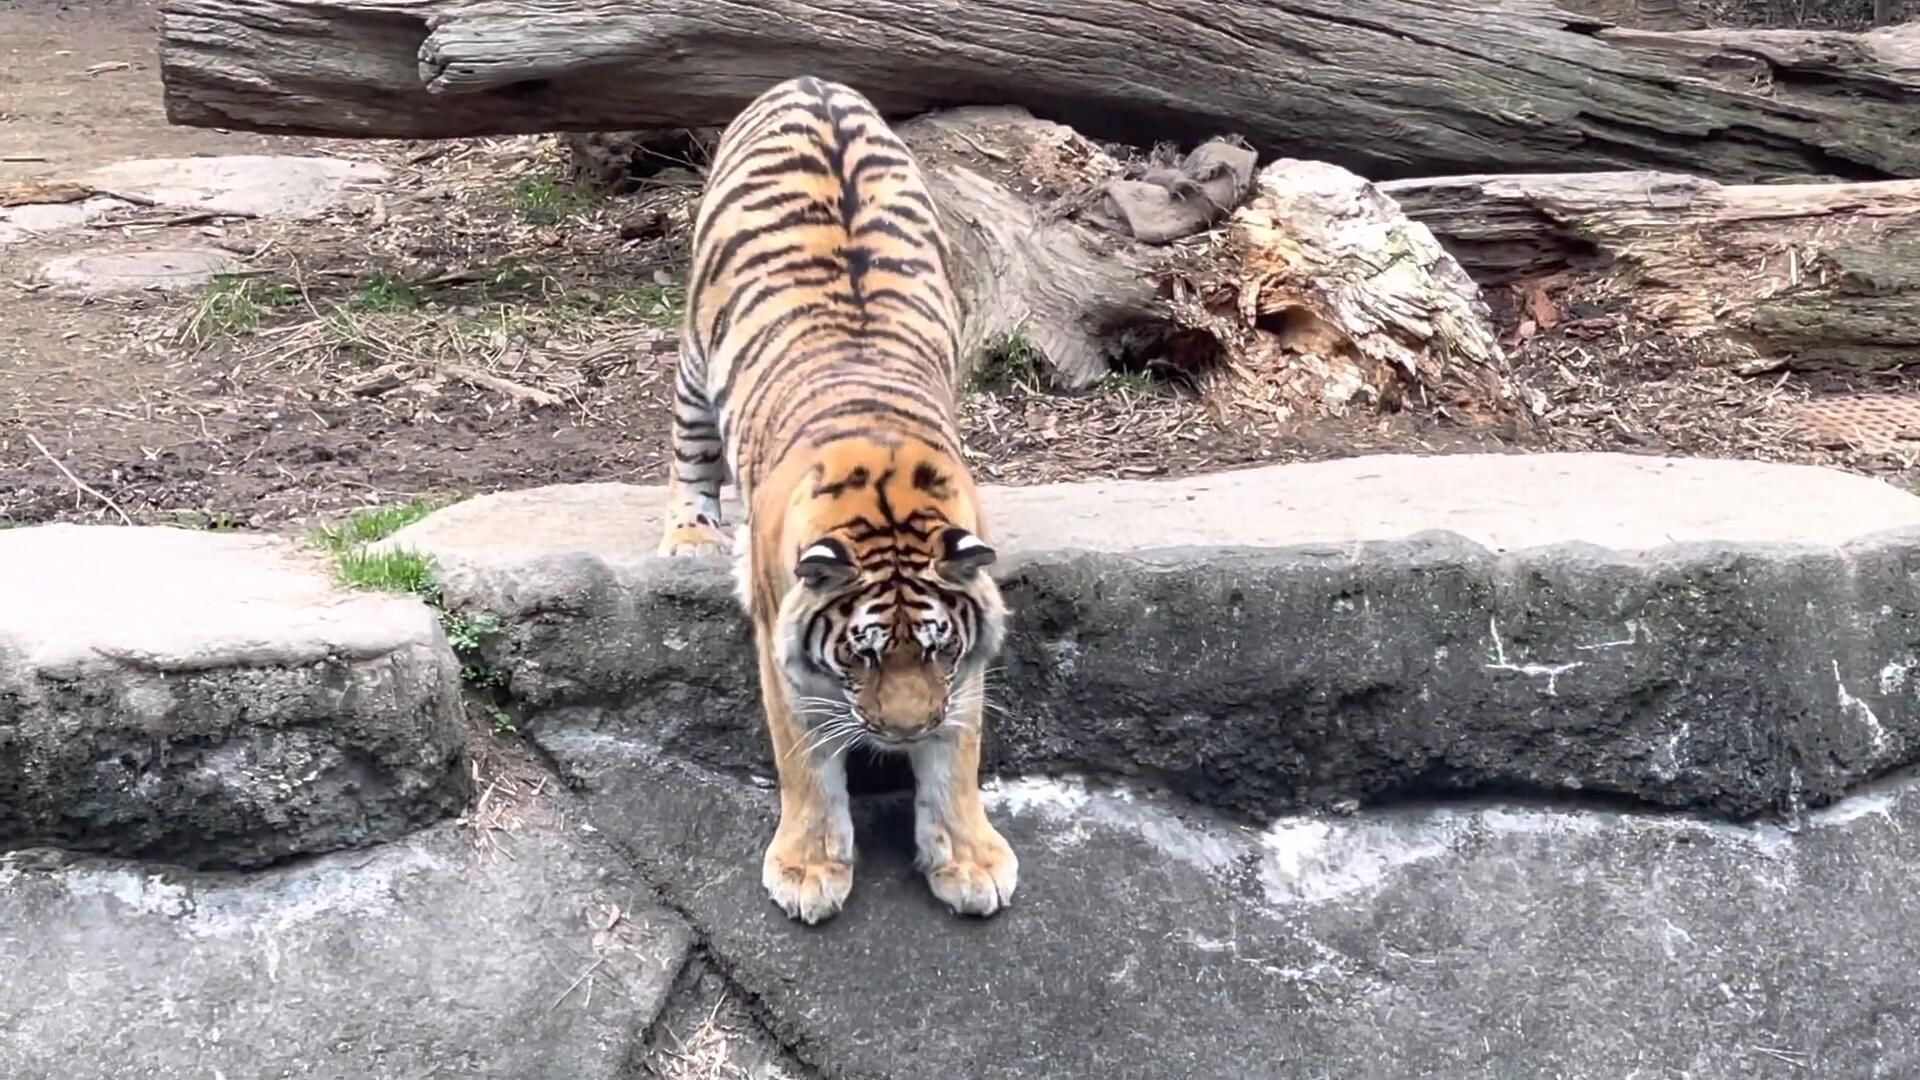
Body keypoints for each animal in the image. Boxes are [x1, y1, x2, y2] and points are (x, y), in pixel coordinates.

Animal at [655, 75, 1017, 925]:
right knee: (689, 448)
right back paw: (689, 535)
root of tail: (810, 83)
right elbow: (806, 760)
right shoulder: (781, 649)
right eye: (863, 653)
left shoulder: (964, 659)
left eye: (938, 648)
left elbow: (959, 752)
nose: (902, 731)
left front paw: (969, 859)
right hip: (695, 351)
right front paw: (810, 868)